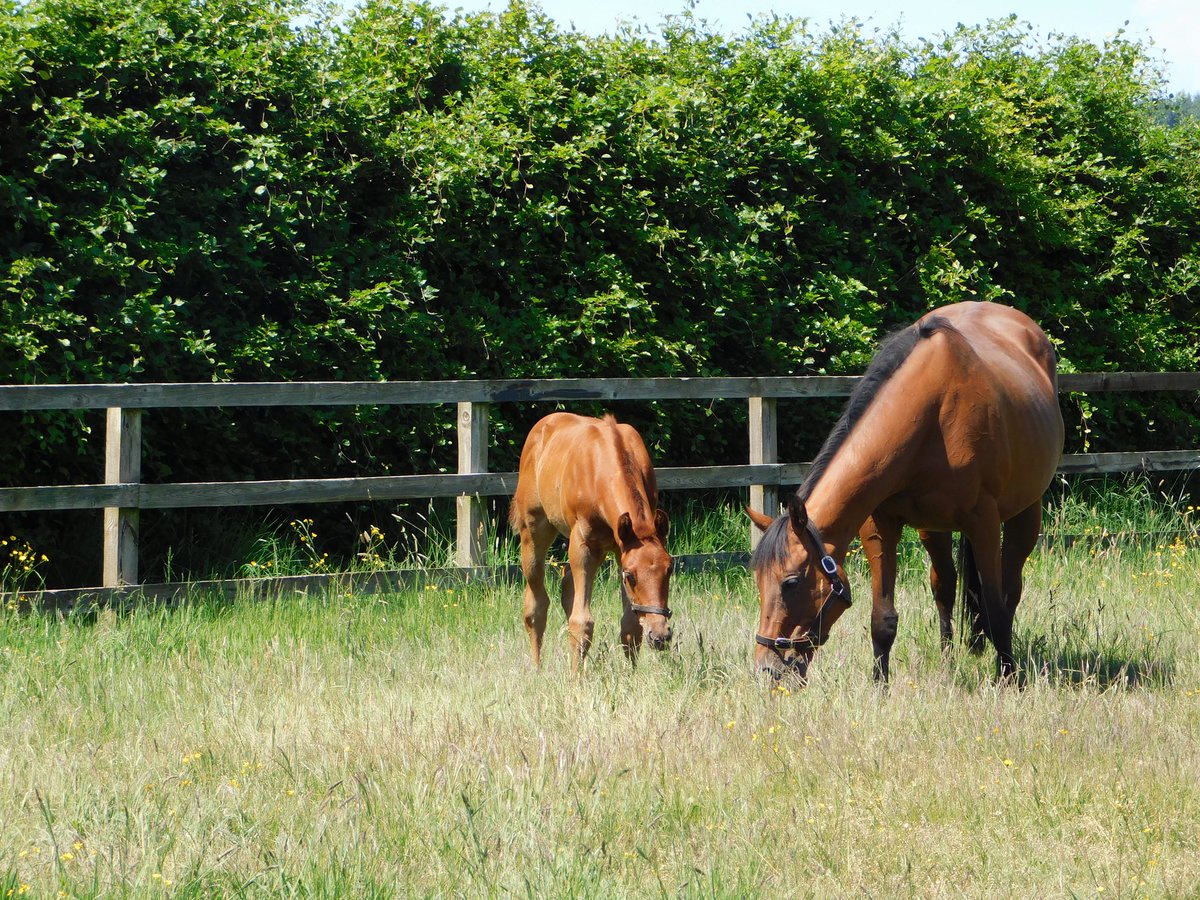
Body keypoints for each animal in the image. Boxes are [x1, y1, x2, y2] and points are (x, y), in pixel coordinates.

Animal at [509, 412, 673, 672]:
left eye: (670, 570)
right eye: (630, 576)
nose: (660, 636)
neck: (600, 471)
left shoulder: (620, 548)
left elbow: (630, 626)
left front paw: (632, 676)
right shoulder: (584, 544)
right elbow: (582, 622)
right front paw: (575, 680)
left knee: (567, 584)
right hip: (535, 531)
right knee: (536, 606)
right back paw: (537, 669)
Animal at [747, 301, 1064, 682]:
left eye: (791, 583)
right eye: (758, 580)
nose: (767, 668)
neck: (932, 412)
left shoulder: (984, 523)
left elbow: (996, 609)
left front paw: (1009, 680)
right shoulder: (880, 525)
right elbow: (882, 619)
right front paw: (880, 685)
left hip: (1025, 513)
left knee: (1010, 590)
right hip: (933, 529)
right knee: (944, 586)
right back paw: (948, 660)